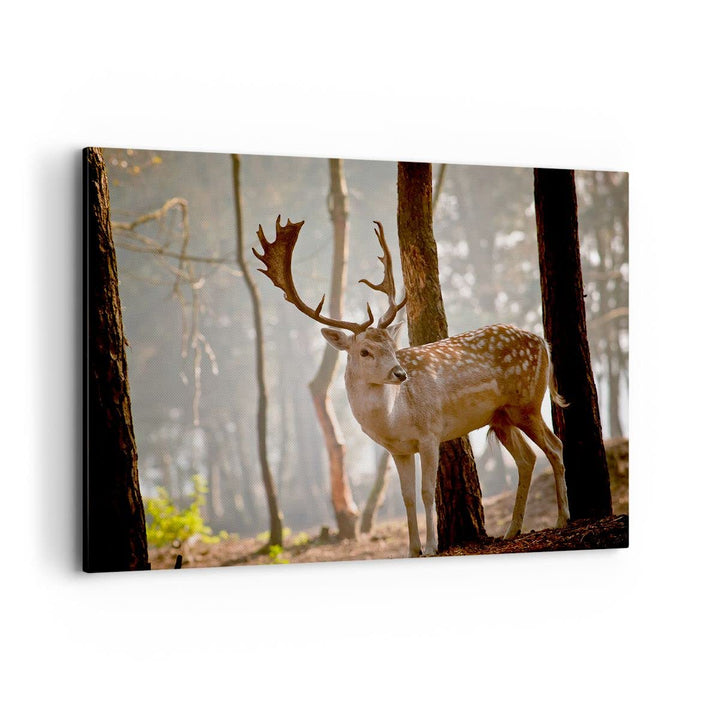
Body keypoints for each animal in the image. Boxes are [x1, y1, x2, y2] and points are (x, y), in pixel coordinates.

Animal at [254, 216, 570, 557]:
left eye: (392, 346)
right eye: (364, 351)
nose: (399, 373)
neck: (394, 419)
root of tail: (542, 341)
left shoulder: (430, 433)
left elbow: (426, 491)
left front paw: (431, 547)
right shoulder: (399, 450)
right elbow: (406, 496)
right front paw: (412, 549)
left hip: (526, 402)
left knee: (554, 446)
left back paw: (562, 519)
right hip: (501, 416)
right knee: (527, 458)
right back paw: (512, 530)